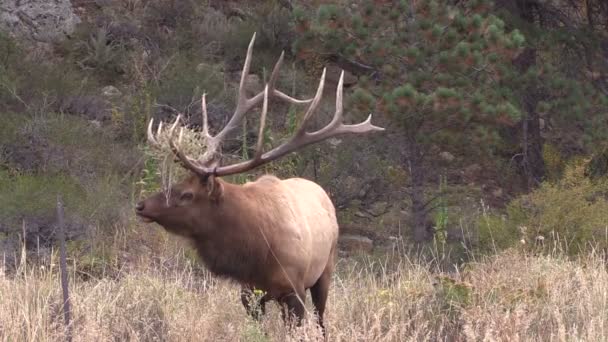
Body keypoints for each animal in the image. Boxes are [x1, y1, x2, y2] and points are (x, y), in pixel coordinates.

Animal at [137, 33, 384, 336]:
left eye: (186, 194)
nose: (141, 205)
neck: (256, 252)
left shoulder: (294, 290)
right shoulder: (249, 293)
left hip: (326, 270)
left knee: (322, 319)